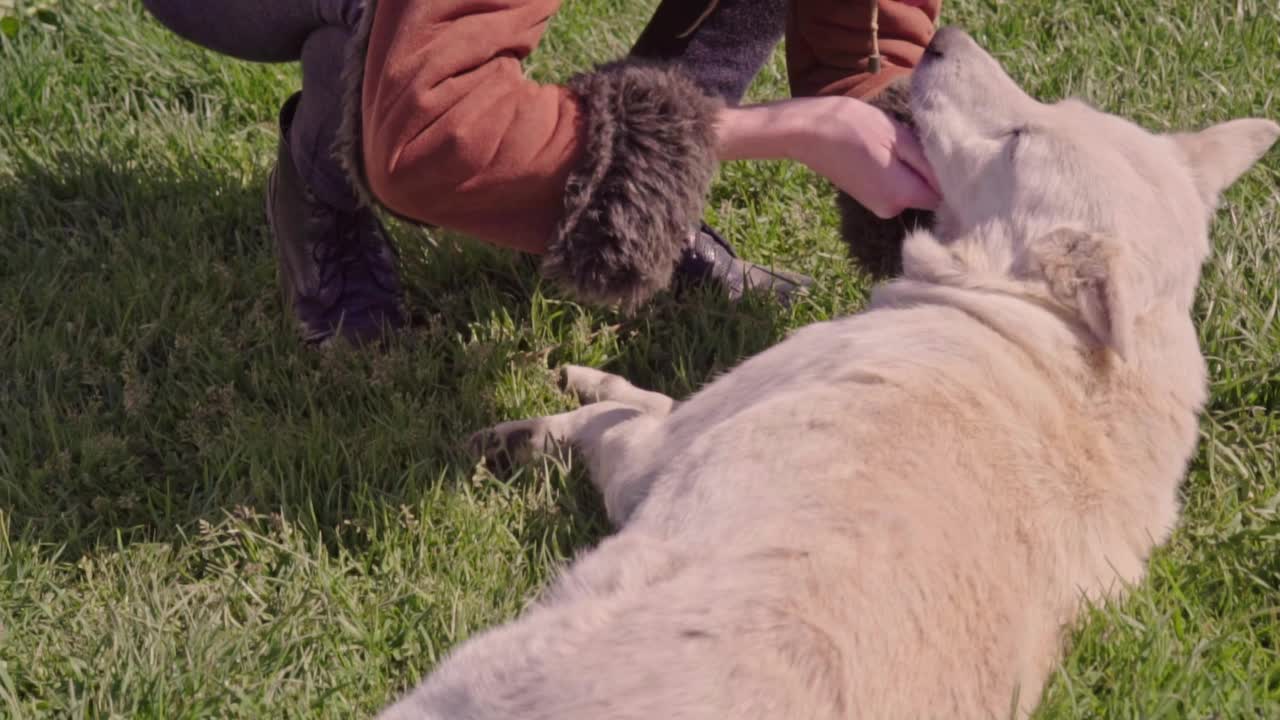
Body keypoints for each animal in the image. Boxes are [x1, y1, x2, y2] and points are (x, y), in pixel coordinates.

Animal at [381, 26, 1280, 717]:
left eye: (1022, 138)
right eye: (1055, 112)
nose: (944, 40)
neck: (1028, 323)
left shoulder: (658, 454)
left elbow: (624, 414)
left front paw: (535, 423)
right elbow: (644, 399)